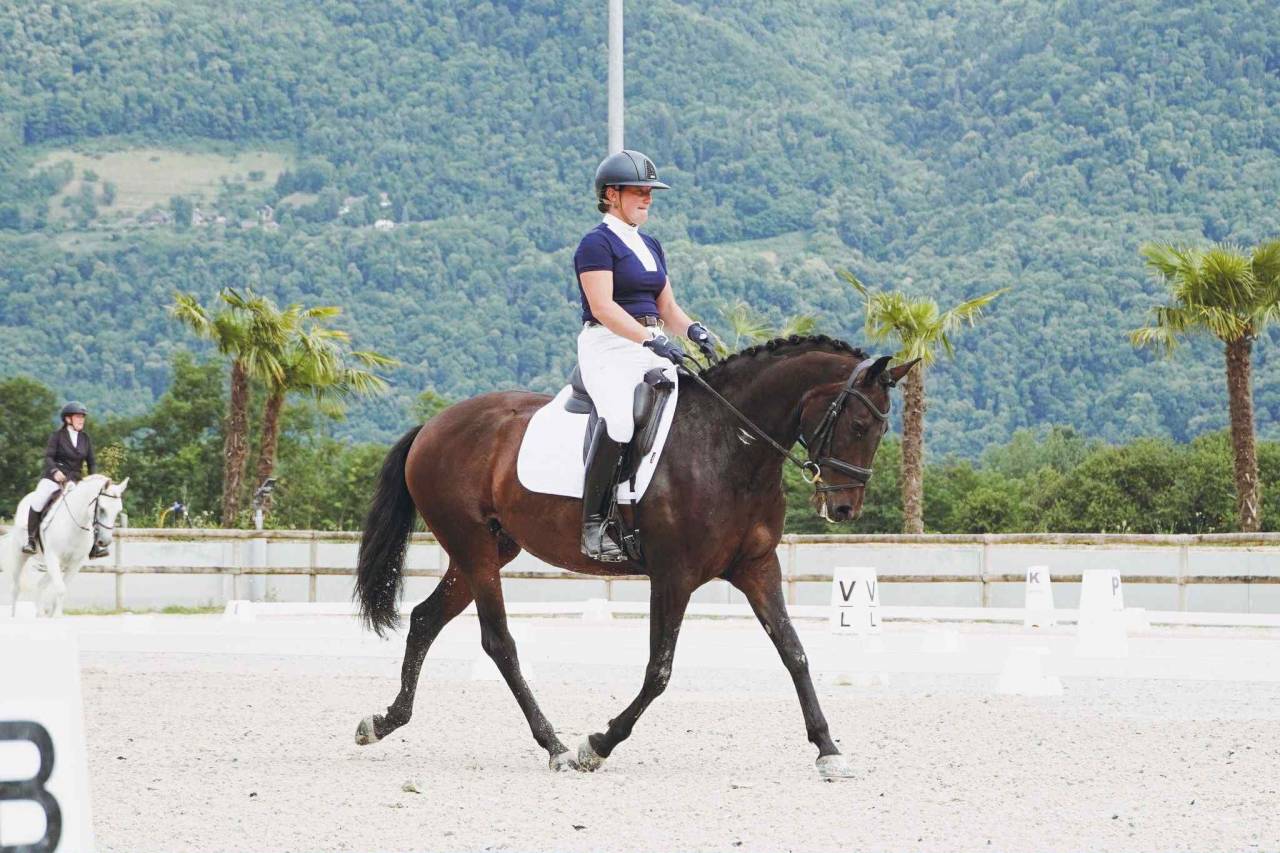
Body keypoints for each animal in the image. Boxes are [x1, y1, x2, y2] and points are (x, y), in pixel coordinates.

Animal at [2, 474, 128, 617]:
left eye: (118, 511)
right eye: (102, 509)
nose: (104, 541)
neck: (75, 526)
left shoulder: (75, 563)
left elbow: (63, 589)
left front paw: (54, 614)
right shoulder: (53, 557)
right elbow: (61, 589)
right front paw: (57, 616)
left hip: (58, 564)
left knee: (40, 585)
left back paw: (40, 614)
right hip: (20, 556)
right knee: (15, 588)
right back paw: (13, 616)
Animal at [352, 335, 915, 777]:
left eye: (880, 430)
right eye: (858, 425)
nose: (843, 507)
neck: (729, 446)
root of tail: (433, 426)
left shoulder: (757, 568)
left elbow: (794, 652)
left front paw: (828, 749)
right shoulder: (674, 576)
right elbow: (659, 670)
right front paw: (596, 745)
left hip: (487, 548)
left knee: (426, 620)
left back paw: (383, 722)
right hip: (473, 547)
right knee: (499, 642)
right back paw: (556, 746)